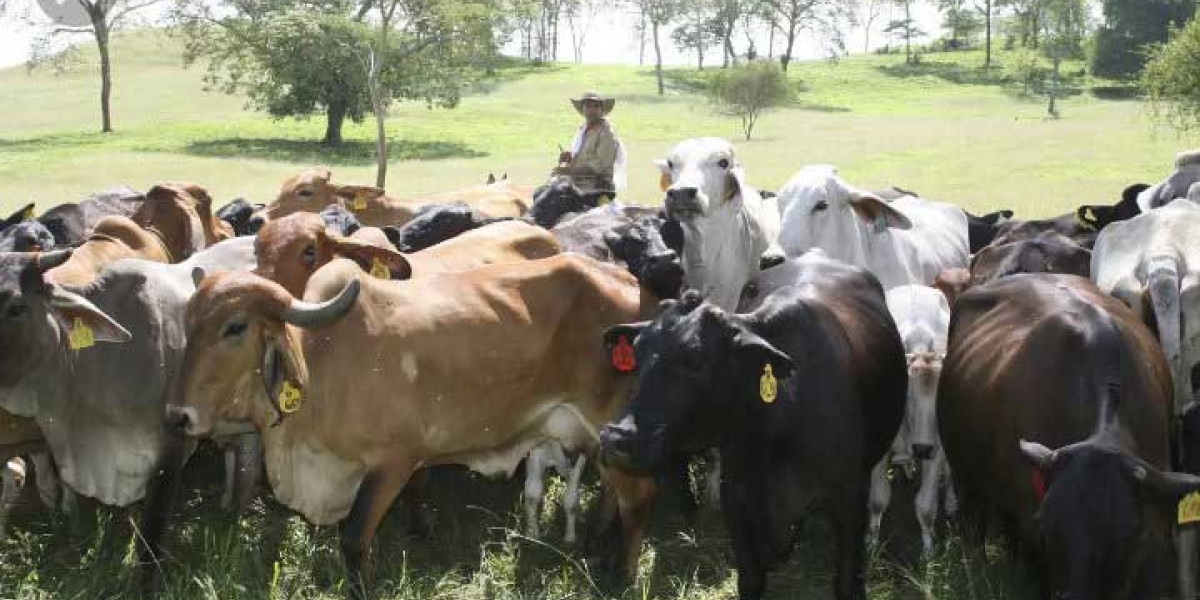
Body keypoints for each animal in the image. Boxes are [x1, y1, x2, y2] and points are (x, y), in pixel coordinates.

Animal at [604, 254, 902, 600]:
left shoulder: (850, 499)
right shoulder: (737, 499)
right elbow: (751, 579)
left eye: (695, 361)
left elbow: (846, 582)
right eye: (636, 355)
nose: (618, 439)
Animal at [868, 285, 950, 552]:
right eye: (907, 396)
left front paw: (929, 551)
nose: (922, 448)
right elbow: (878, 499)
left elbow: (925, 506)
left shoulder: (937, 448)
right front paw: (871, 544)